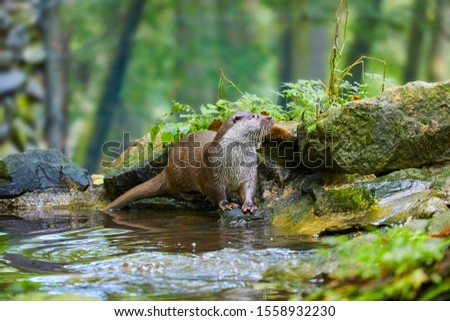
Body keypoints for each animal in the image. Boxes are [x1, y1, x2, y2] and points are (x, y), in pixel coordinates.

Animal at [103, 112, 274, 212]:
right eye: (256, 116)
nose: (270, 117)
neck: (234, 161)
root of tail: (167, 168)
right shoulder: (212, 172)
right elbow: (216, 192)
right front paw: (226, 204)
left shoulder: (248, 171)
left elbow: (249, 187)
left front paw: (249, 204)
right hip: (178, 172)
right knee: (171, 189)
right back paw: (189, 196)